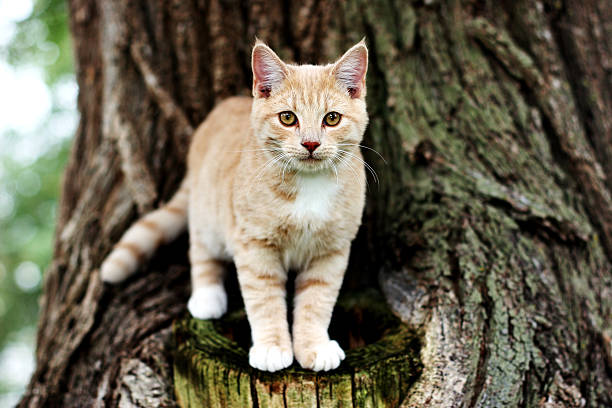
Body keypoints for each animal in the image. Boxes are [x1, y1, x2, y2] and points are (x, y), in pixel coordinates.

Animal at [100, 39, 368, 372]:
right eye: (288, 118)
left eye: (331, 118)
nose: (310, 144)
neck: (309, 184)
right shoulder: (254, 244)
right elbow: (264, 299)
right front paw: (272, 347)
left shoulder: (331, 250)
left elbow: (317, 301)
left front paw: (313, 346)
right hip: (208, 218)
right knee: (201, 252)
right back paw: (207, 297)